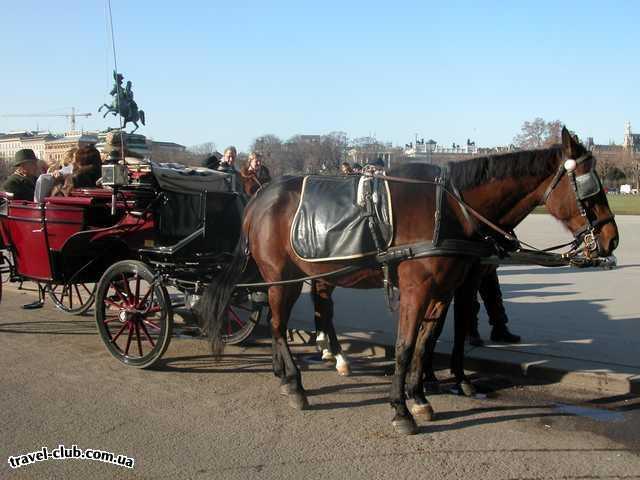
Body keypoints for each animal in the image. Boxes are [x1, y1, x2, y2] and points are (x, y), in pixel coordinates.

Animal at [198, 128, 616, 436]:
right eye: (589, 188)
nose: (611, 240)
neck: (453, 209)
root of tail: (259, 197)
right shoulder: (417, 290)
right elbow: (404, 345)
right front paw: (401, 409)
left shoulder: (443, 291)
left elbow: (427, 342)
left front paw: (420, 396)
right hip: (282, 277)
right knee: (277, 323)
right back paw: (297, 384)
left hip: (308, 273)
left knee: (299, 314)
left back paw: (301, 369)